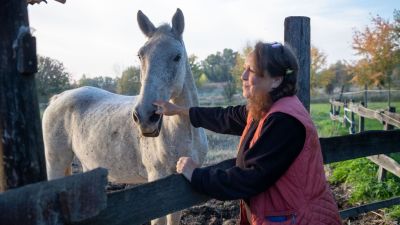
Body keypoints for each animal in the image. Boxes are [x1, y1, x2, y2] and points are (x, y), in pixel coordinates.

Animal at [42, 7, 208, 224]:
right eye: (140, 55)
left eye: (177, 56)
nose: (145, 116)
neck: (184, 132)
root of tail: (57, 98)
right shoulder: (158, 181)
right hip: (56, 164)